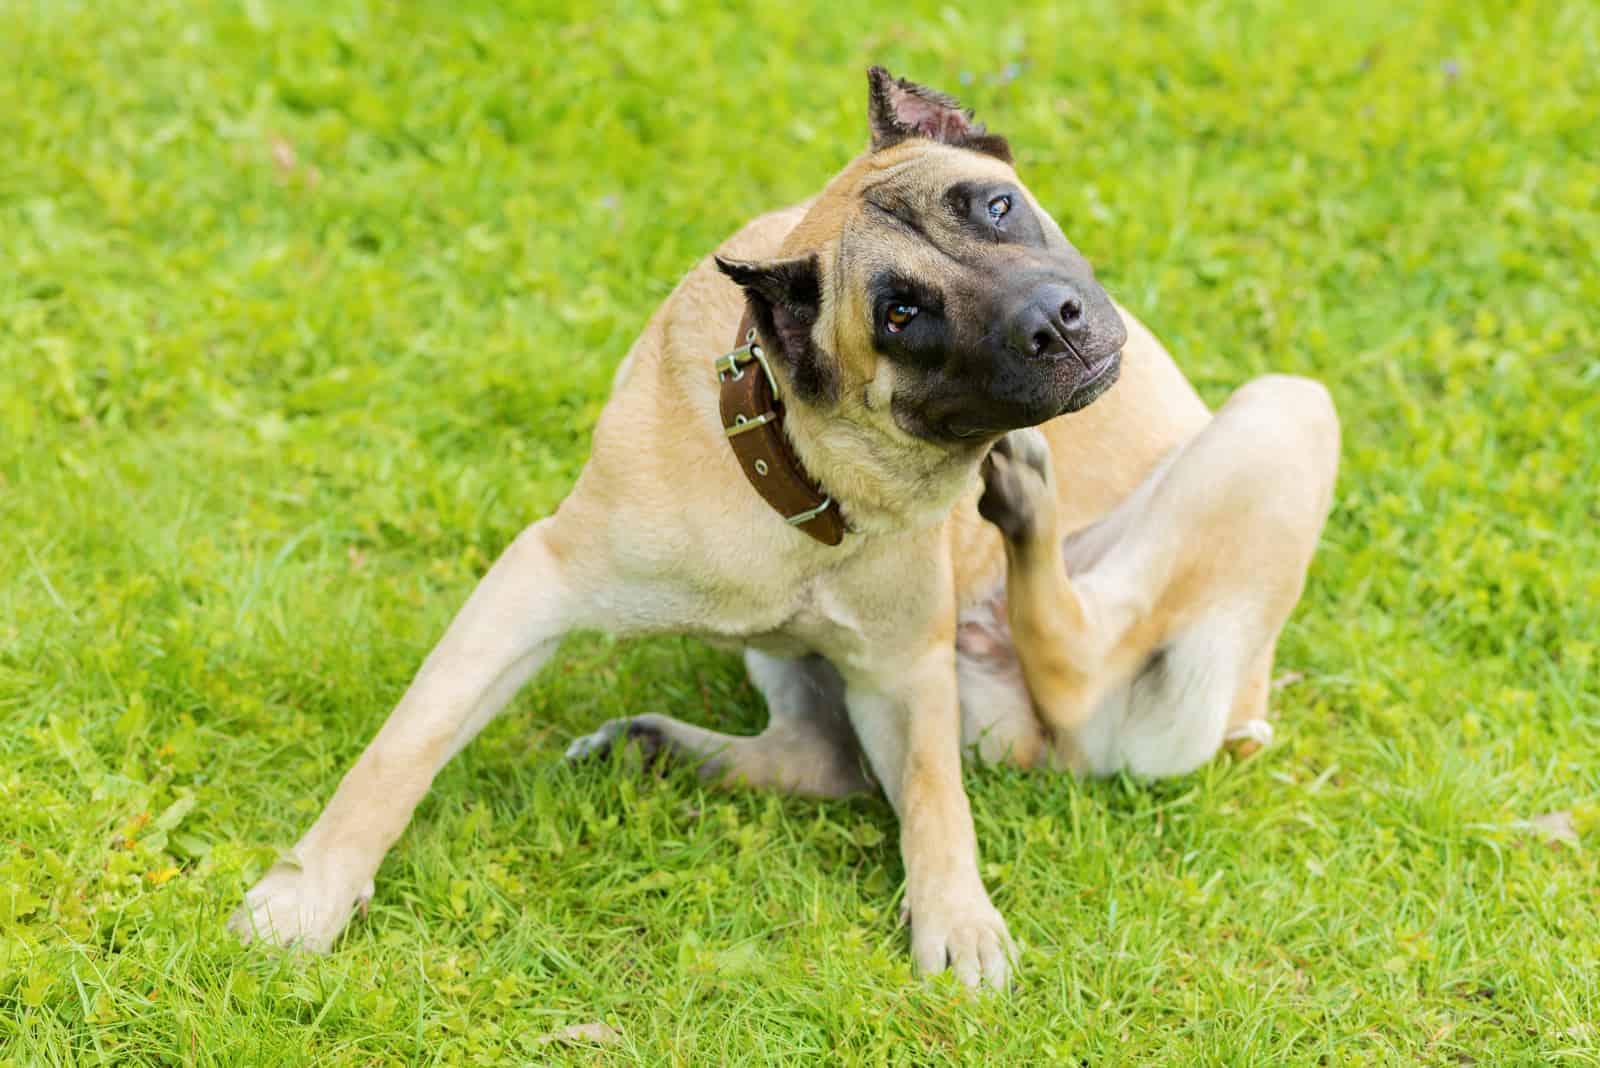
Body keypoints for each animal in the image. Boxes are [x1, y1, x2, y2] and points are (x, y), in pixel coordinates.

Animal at [228, 68, 1337, 991]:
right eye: (900, 315)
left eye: (995, 205)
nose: (1054, 320)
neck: (809, 465)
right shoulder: (537, 582)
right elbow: (402, 748)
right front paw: (309, 893)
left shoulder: (904, 673)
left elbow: (933, 798)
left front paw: (956, 917)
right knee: (857, 746)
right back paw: (660, 748)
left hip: (1282, 413)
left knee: (1058, 670)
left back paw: (1021, 509)